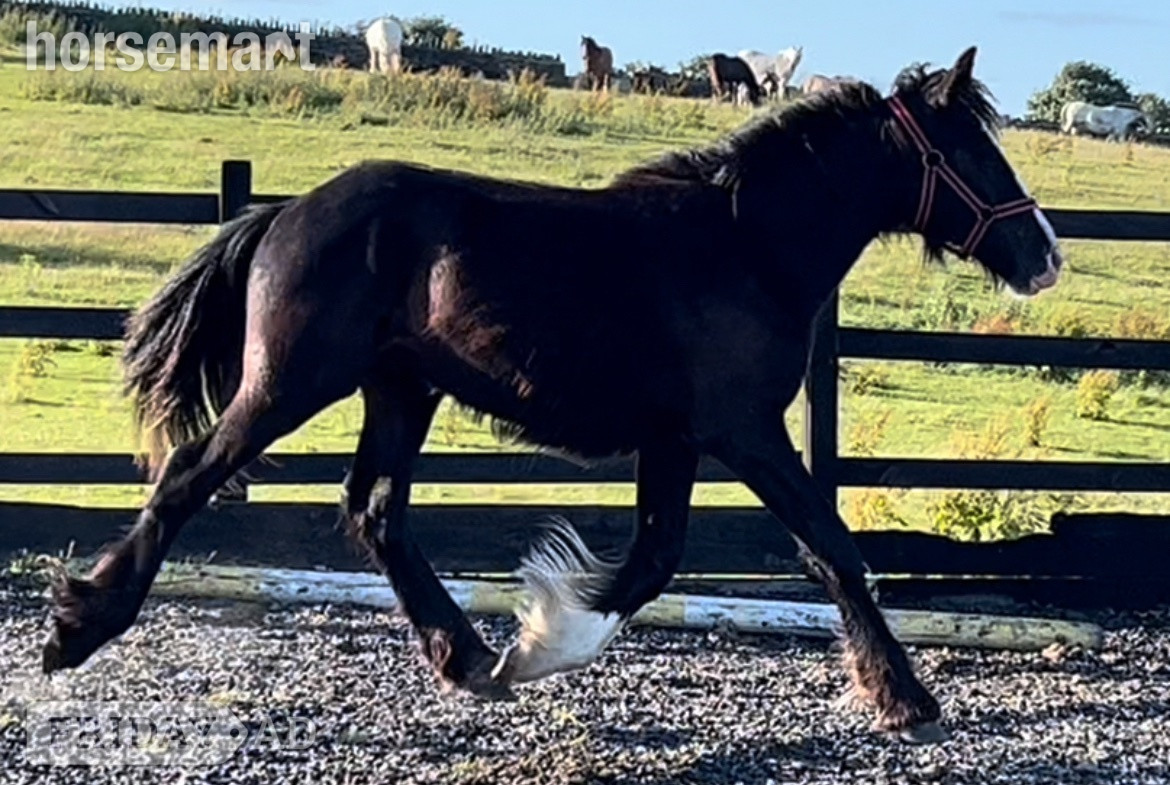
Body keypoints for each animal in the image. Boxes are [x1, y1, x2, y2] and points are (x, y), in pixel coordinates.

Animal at [44, 47, 1062, 745]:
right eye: (972, 153)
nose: (1045, 255)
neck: (744, 245)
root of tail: (283, 214)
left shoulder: (677, 439)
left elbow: (655, 561)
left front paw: (531, 642)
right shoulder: (745, 431)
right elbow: (833, 550)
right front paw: (909, 698)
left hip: (401, 390)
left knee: (374, 509)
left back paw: (465, 658)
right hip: (294, 380)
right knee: (188, 474)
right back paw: (76, 628)